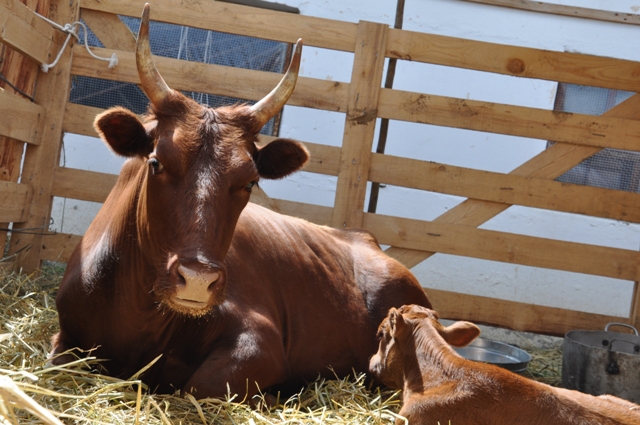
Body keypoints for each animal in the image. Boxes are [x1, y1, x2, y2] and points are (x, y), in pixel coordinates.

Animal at [48, 4, 430, 400]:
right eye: (156, 162)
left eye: (250, 181)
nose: (197, 279)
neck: (140, 319)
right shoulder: (65, 339)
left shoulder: (259, 340)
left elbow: (200, 386)